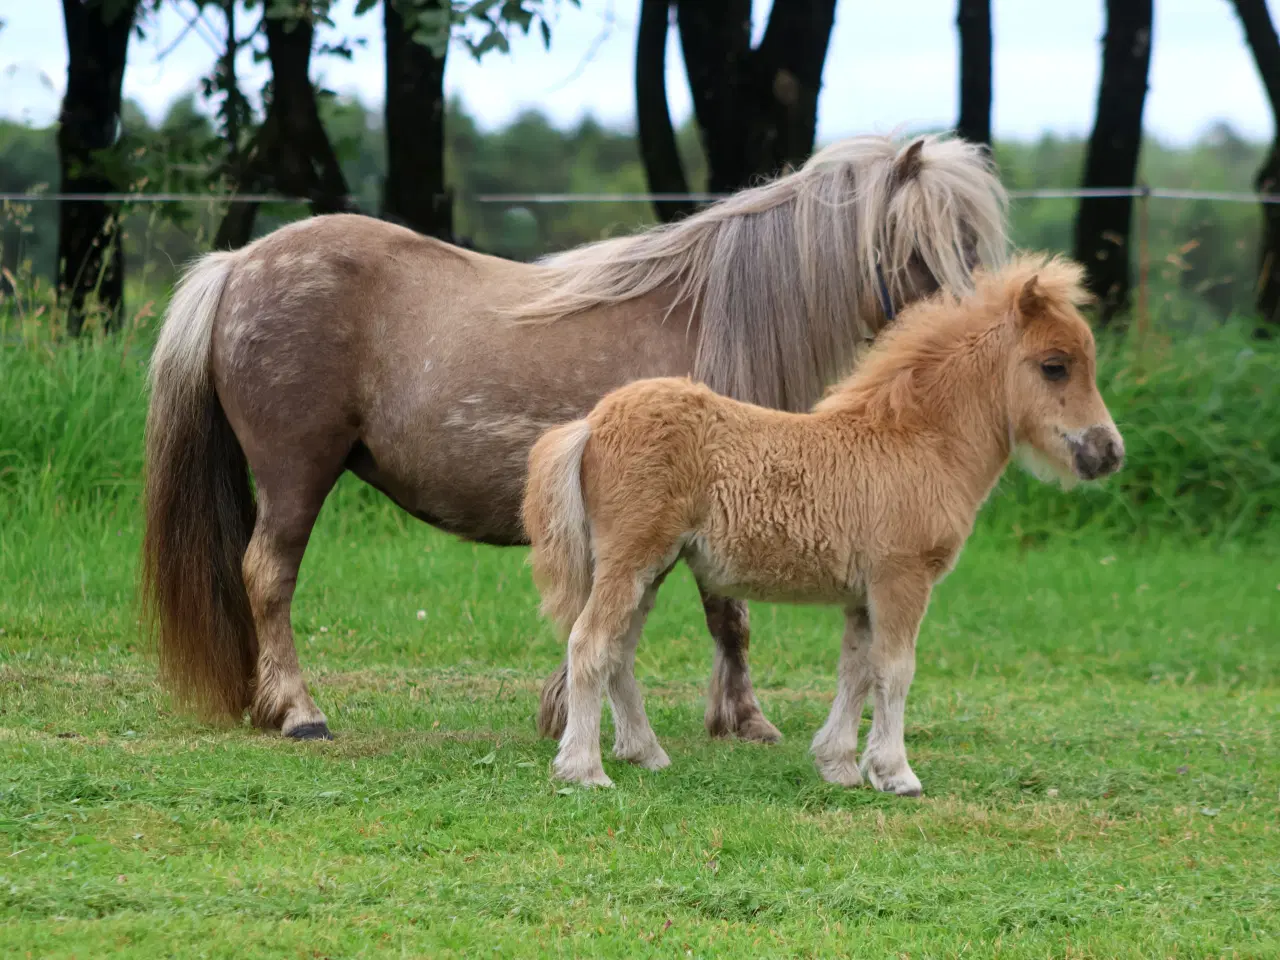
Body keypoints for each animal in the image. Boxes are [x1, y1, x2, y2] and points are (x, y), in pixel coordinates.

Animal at [142, 131, 1008, 742]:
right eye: (931, 244)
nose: (978, 339)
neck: (711, 317)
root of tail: (239, 265)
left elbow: (715, 614)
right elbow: (703, 612)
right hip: (296, 475)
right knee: (267, 577)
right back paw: (298, 711)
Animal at [524, 252, 1126, 793]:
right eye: (1055, 365)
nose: (1108, 451)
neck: (918, 443)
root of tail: (592, 423)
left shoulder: (864, 594)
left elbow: (856, 670)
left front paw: (838, 765)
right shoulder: (901, 579)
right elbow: (896, 669)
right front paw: (897, 774)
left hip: (652, 566)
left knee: (619, 651)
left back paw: (645, 753)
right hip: (631, 558)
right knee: (591, 643)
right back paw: (584, 770)